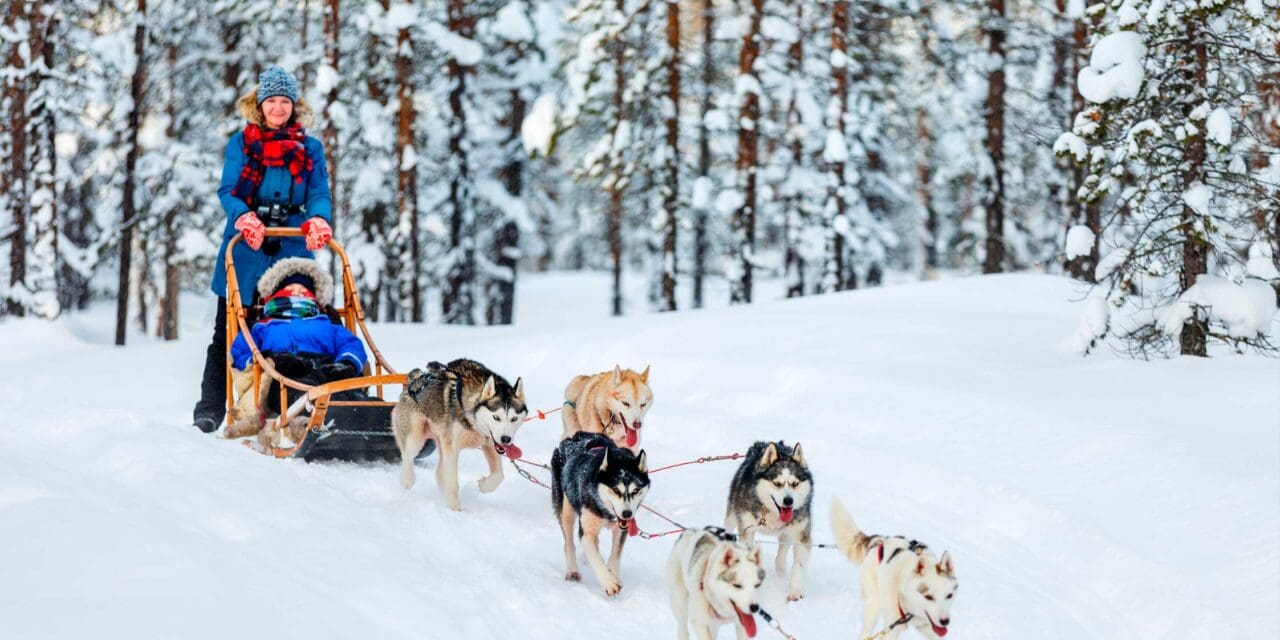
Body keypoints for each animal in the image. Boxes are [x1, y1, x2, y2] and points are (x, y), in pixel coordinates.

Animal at [391, 360, 527, 509]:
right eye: (496, 417)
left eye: (514, 418)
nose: (506, 439)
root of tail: (415, 379)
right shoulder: (453, 449)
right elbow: (452, 484)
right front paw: (455, 510)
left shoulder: (490, 444)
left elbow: (499, 475)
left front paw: (484, 486)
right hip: (415, 439)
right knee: (407, 458)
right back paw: (407, 480)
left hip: (441, 441)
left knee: (439, 473)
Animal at [550, 430, 650, 593]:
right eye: (616, 490)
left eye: (635, 490)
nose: (627, 514)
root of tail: (578, 436)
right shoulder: (586, 532)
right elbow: (594, 558)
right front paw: (608, 582)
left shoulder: (621, 529)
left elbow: (615, 554)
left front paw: (613, 574)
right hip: (566, 511)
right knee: (569, 543)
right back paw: (573, 571)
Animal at [727, 440, 814, 599]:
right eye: (777, 483)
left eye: (795, 484)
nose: (788, 501)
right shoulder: (746, 531)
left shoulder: (801, 535)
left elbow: (798, 566)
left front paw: (795, 591)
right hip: (731, 516)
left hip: (787, 534)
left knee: (781, 555)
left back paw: (780, 573)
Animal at [834, 499, 957, 640]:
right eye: (929, 597)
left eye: (949, 595)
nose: (945, 621)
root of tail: (879, 540)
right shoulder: (892, 630)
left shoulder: (929, 628)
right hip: (873, 605)